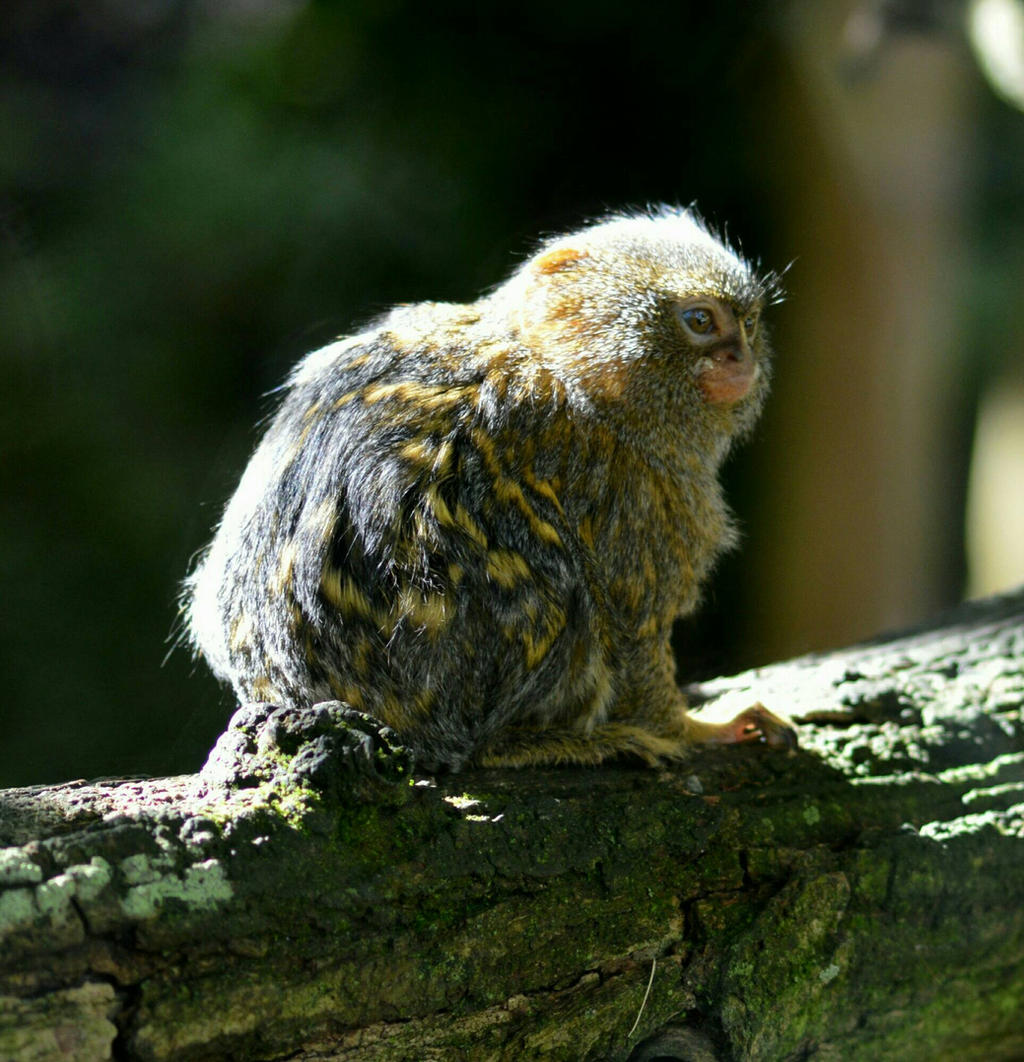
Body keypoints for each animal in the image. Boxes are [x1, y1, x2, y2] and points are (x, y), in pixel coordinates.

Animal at [186, 206, 796, 771]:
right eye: (700, 320)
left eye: (747, 323)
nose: (739, 357)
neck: (569, 373)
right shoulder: (626, 485)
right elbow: (631, 624)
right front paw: (698, 728)